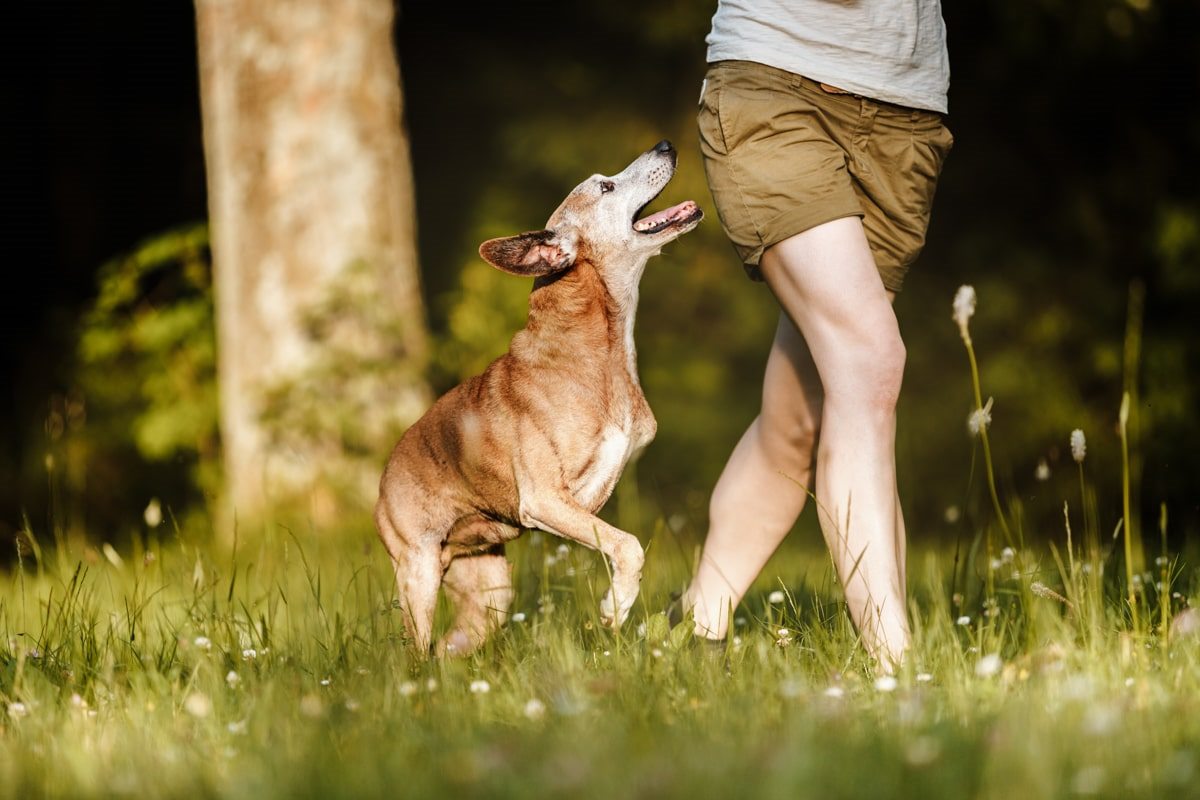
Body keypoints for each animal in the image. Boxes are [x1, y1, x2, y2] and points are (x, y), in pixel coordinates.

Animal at [374, 142, 700, 657]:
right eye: (605, 186)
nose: (665, 145)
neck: (598, 353)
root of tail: (383, 478)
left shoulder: (582, 503)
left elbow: (614, 542)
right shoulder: (546, 501)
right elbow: (628, 546)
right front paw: (614, 608)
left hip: (488, 596)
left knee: (446, 649)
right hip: (418, 574)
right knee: (417, 652)